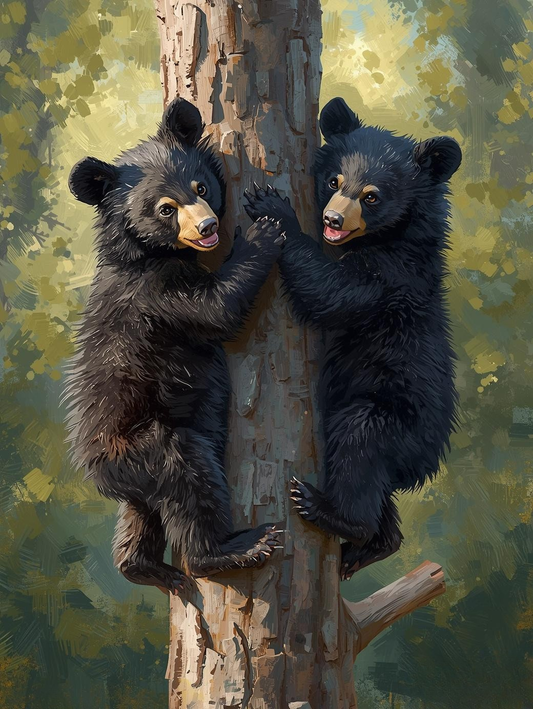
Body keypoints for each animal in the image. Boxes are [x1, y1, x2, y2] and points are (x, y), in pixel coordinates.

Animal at [64, 98, 285, 593]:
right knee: (186, 474)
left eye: (200, 186)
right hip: (140, 447)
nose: (206, 226)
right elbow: (217, 307)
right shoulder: (154, 294)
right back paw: (234, 548)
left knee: (143, 512)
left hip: (132, 478)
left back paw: (146, 567)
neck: (145, 253)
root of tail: (93, 470)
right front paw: (265, 228)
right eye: (166, 208)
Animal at [244, 97, 461, 580]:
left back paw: (328, 511)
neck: (394, 236)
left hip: (396, 416)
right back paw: (370, 547)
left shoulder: (390, 277)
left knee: (360, 444)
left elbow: (330, 290)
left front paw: (272, 206)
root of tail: (427, 462)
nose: (332, 219)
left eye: (372, 196)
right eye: (334, 180)